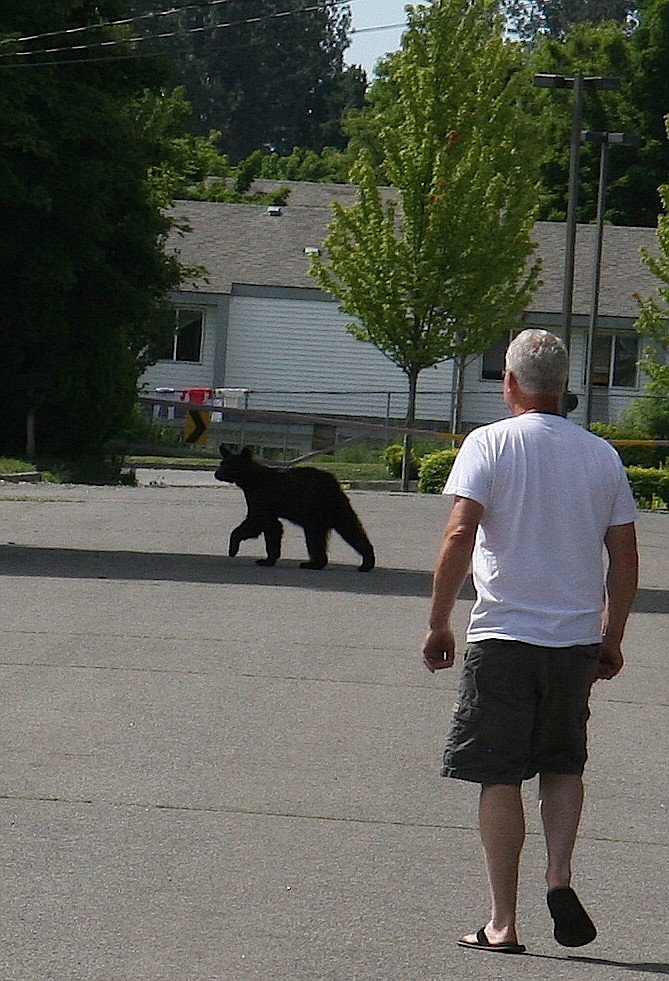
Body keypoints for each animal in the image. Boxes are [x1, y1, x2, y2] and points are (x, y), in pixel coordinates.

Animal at [214, 442, 374, 572]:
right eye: (222, 462)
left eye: (230, 464)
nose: (217, 474)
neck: (251, 481)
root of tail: (336, 484)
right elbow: (272, 527)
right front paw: (268, 559)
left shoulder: (262, 497)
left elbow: (257, 521)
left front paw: (234, 550)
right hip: (331, 509)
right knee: (347, 529)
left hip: (321, 508)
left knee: (333, 532)